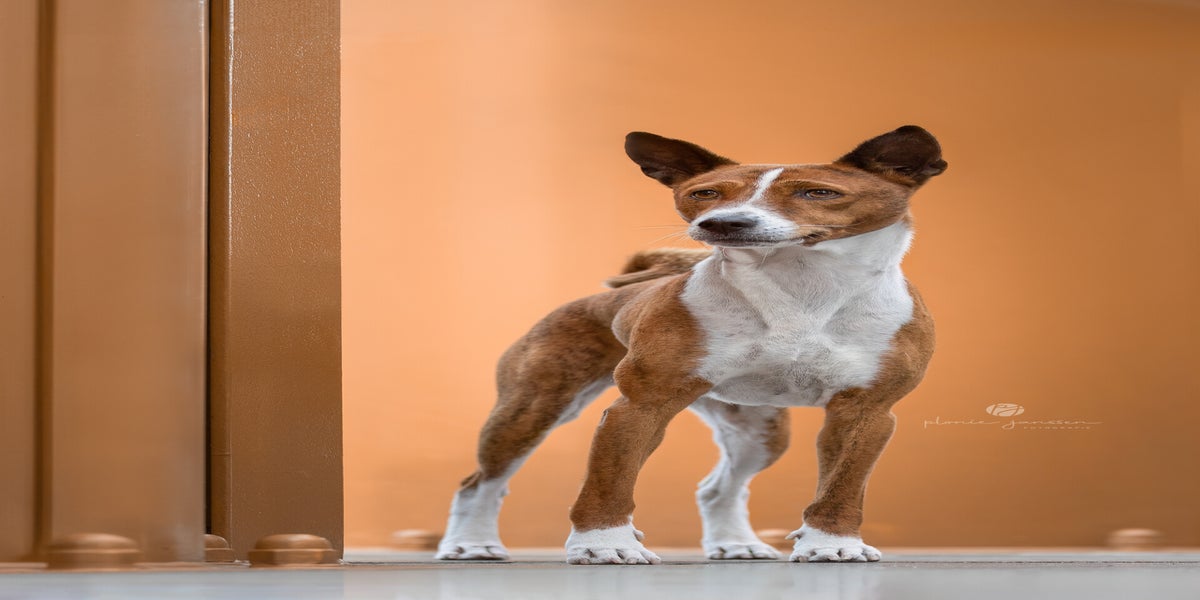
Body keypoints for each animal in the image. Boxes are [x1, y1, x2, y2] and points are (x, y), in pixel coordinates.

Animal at [436, 126, 946, 564]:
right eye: (705, 193)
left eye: (818, 193)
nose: (722, 222)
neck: (801, 294)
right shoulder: (640, 406)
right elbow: (609, 482)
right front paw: (604, 544)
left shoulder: (866, 413)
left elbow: (842, 487)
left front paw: (832, 544)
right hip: (533, 410)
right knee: (482, 483)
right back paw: (471, 544)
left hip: (759, 432)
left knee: (719, 488)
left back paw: (736, 544)